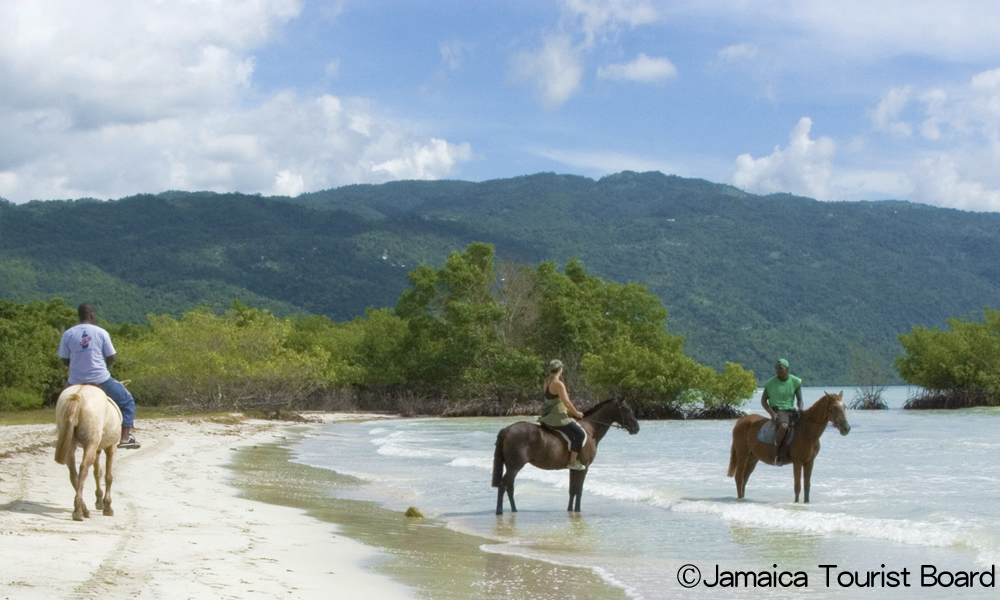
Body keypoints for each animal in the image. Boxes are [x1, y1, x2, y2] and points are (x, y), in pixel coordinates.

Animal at [53, 384, 121, 520]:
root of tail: (79, 393)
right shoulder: (111, 447)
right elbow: (108, 476)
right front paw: (107, 506)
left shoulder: (96, 449)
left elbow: (97, 473)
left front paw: (99, 501)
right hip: (91, 443)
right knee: (83, 469)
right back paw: (79, 510)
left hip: (72, 445)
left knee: (74, 474)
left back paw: (83, 509)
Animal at [492, 398, 640, 516]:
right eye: (627, 410)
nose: (637, 428)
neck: (590, 430)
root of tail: (508, 429)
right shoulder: (584, 467)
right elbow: (579, 490)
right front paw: (578, 511)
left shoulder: (574, 468)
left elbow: (572, 490)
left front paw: (570, 510)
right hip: (515, 466)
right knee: (503, 485)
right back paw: (499, 512)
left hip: (511, 466)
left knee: (509, 486)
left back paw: (514, 511)